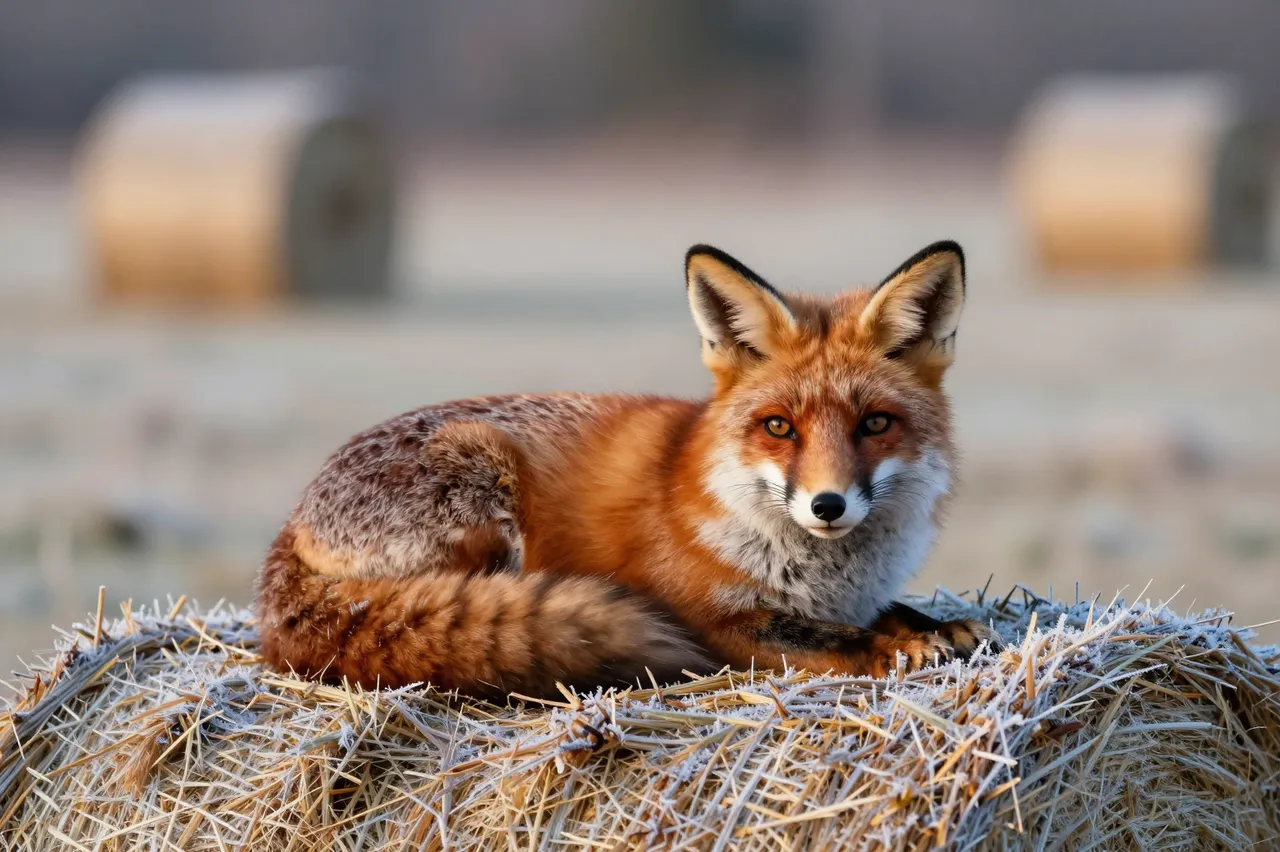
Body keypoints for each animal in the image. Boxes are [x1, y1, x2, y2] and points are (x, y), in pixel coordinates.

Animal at [255, 240, 1001, 699]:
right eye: (779, 427)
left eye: (874, 424)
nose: (828, 505)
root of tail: (287, 526)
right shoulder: (718, 622)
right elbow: (836, 636)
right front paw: (897, 648)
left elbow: (894, 610)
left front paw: (941, 627)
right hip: (487, 491)